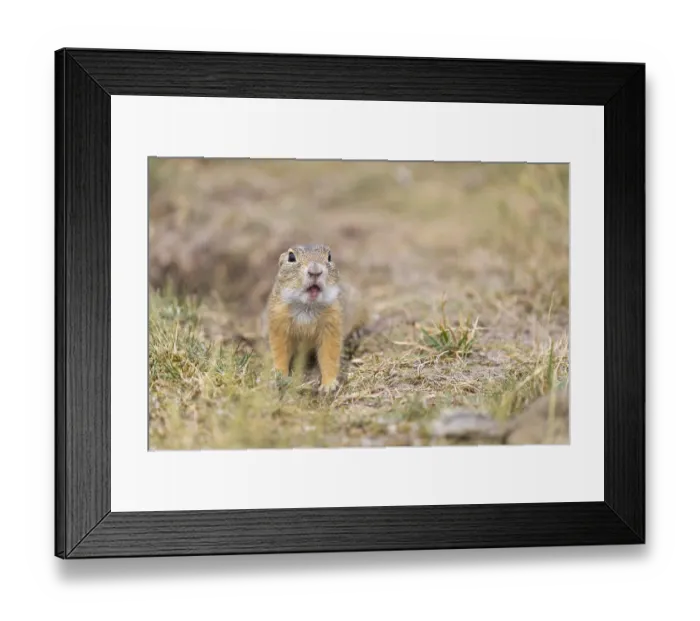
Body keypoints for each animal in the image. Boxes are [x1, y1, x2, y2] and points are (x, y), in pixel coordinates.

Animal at [262, 243, 369, 393]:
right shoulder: (278, 320)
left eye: (329, 256)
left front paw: (328, 385)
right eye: (291, 257)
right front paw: (278, 376)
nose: (315, 270)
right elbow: (280, 351)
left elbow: (329, 354)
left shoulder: (332, 323)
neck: (307, 306)